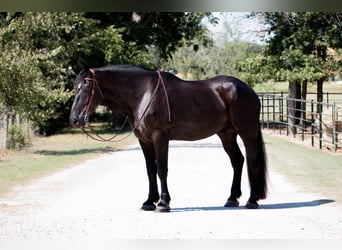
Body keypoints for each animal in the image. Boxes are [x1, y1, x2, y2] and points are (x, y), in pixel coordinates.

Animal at [69, 64, 268, 211]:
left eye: (87, 87)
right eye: (75, 88)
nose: (74, 119)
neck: (143, 94)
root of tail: (250, 91)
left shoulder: (160, 137)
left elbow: (161, 169)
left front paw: (163, 203)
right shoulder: (145, 140)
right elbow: (150, 170)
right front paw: (149, 202)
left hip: (247, 132)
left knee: (253, 160)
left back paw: (252, 201)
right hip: (227, 134)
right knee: (238, 161)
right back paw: (232, 198)